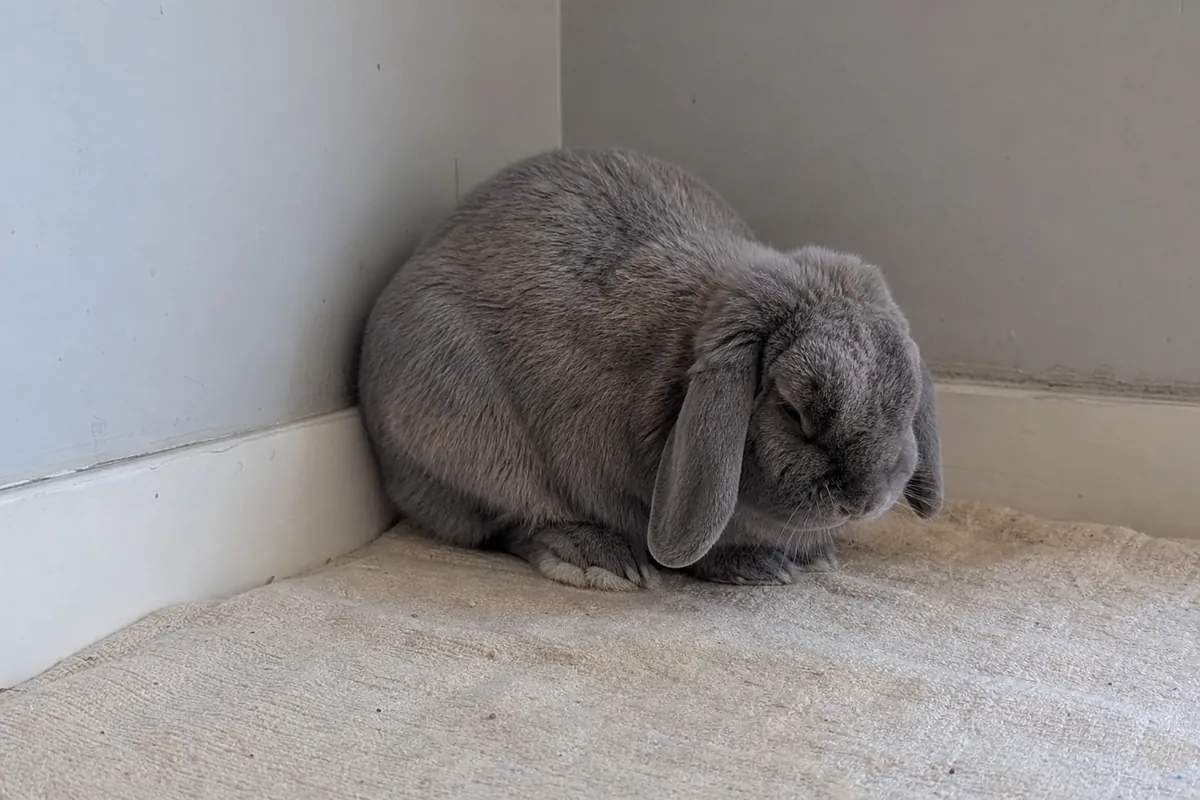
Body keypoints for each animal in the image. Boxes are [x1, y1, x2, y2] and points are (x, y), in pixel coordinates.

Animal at [358, 147, 943, 591]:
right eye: (794, 411)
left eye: (907, 400)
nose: (864, 499)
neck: (678, 362)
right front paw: (758, 565)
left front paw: (809, 557)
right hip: (458, 427)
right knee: (510, 520)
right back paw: (599, 560)